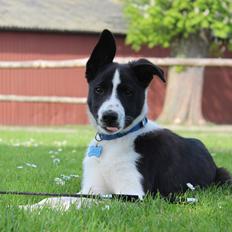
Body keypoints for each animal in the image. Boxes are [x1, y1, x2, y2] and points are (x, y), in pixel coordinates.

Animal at [23, 29, 230, 210]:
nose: (109, 117)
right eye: (99, 89)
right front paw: (29, 207)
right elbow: (58, 198)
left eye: (129, 92)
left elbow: (85, 203)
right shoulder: (92, 188)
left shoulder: (134, 195)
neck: (113, 142)